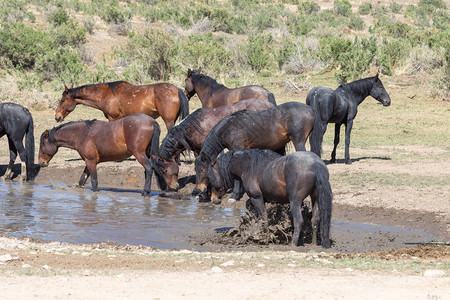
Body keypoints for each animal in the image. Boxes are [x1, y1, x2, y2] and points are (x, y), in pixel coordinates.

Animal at [55, 80, 189, 131]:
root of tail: (177, 90)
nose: (57, 116)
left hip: (168, 120)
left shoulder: (112, 118)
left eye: (63, 100)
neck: (105, 94)